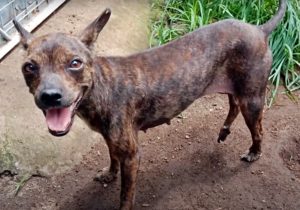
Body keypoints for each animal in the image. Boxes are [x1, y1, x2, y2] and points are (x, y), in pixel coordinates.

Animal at [13, 0, 286, 209]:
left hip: (252, 99)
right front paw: (110, 174)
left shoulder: (132, 155)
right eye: (29, 67)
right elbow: (112, 157)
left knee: (258, 128)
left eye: (75, 63)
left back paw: (254, 152)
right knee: (233, 105)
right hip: (235, 89)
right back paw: (225, 130)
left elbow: (126, 194)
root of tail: (259, 29)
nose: (50, 96)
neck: (101, 87)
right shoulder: (111, 139)